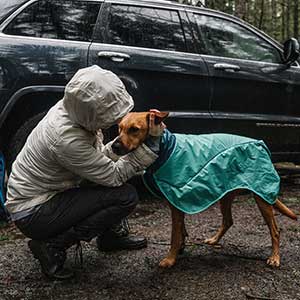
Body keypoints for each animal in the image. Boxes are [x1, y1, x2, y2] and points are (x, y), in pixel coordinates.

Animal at [112, 111, 298, 268]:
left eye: (134, 129)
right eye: (119, 128)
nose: (114, 146)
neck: (166, 146)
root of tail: (260, 143)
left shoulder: (176, 205)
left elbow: (174, 236)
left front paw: (170, 259)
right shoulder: (177, 202)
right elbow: (181, 232)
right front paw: (180, 249)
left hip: (261, 197)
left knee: (275, 230)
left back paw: (275, 257)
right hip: (225, 195)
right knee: (228, 221)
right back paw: (214, 240)